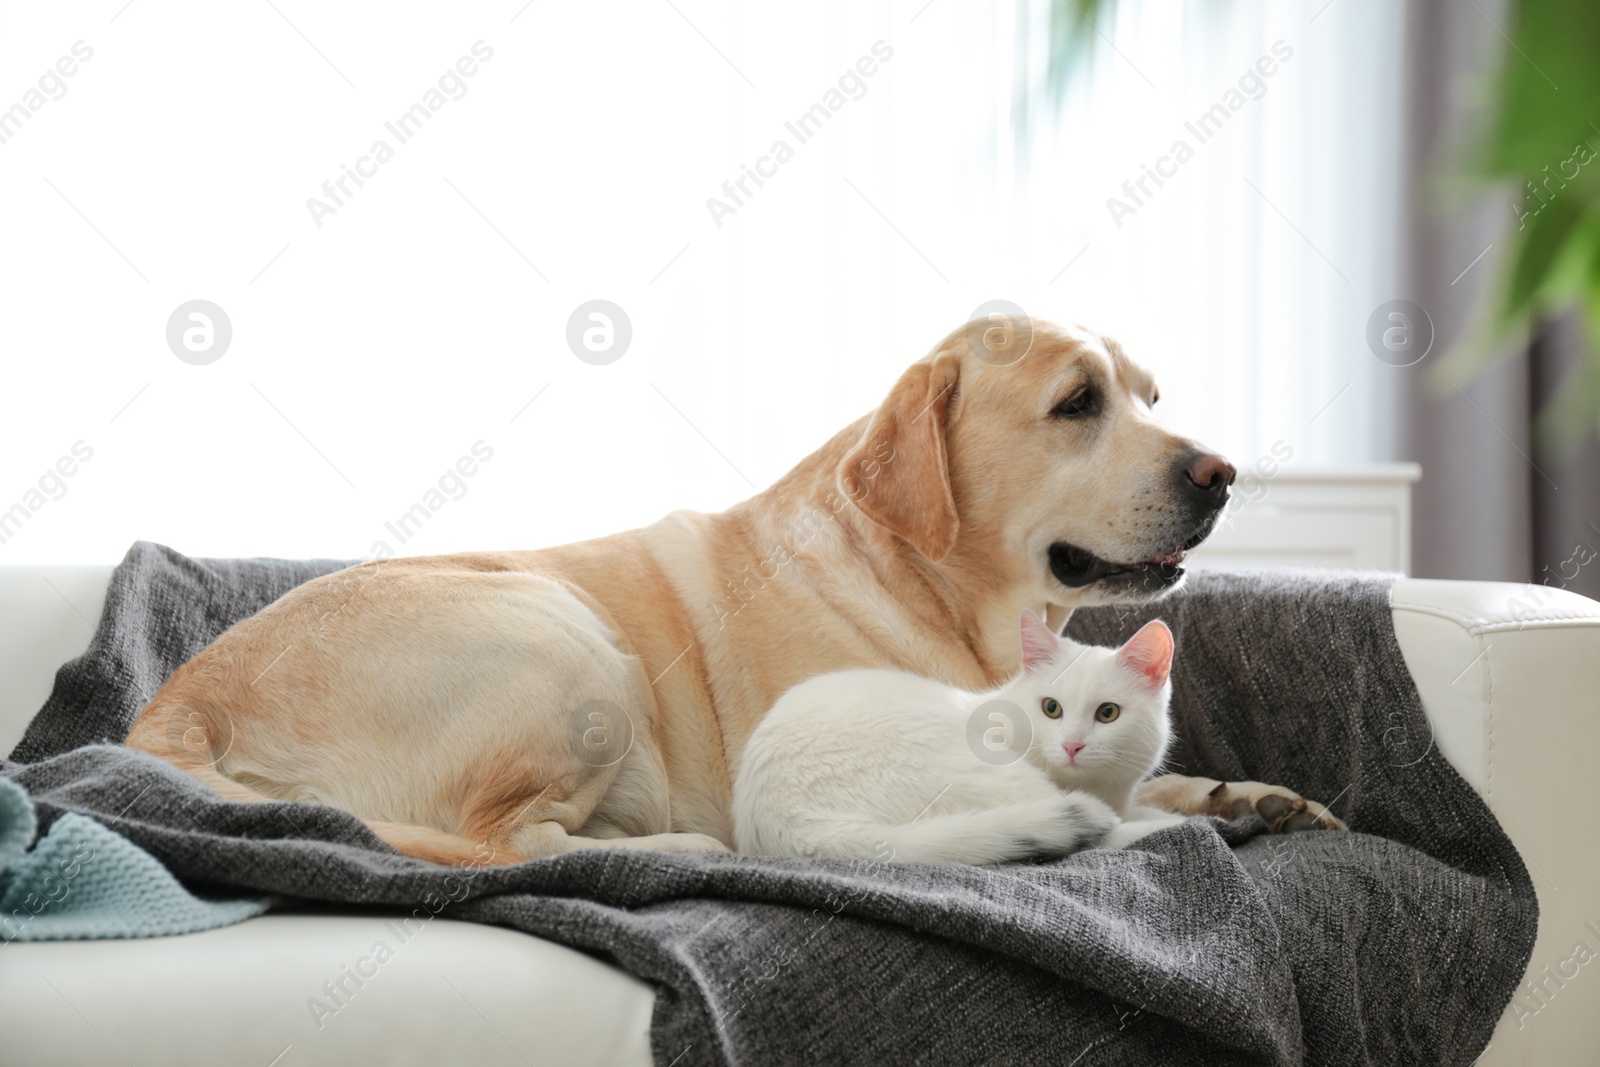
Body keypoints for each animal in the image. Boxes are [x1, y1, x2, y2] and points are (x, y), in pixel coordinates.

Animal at [732, 614, 1190, 863]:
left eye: (1107, 713)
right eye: (1051, 708)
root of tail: (796, 832)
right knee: (1103, 836)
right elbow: (1124, 826)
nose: (1072, 745)